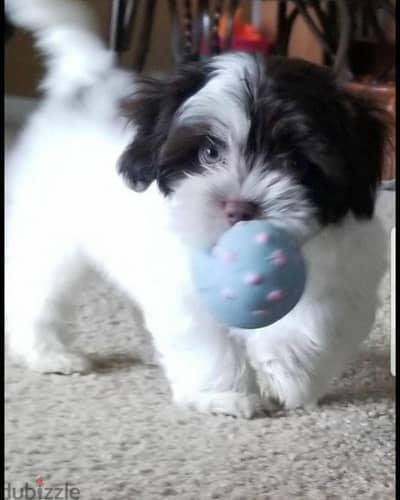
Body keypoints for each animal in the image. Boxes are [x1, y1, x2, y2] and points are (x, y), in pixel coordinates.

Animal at [5, 0, 388, 418]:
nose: (239, 207)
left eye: (293, 162)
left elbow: (320, 319)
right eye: (209, 153)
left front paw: (287, 375)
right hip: (50, 230)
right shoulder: (182, 289)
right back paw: (49, 353)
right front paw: (225, 395)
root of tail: (87, 78)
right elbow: (206, 341)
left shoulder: (348, 272)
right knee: (38, 289)